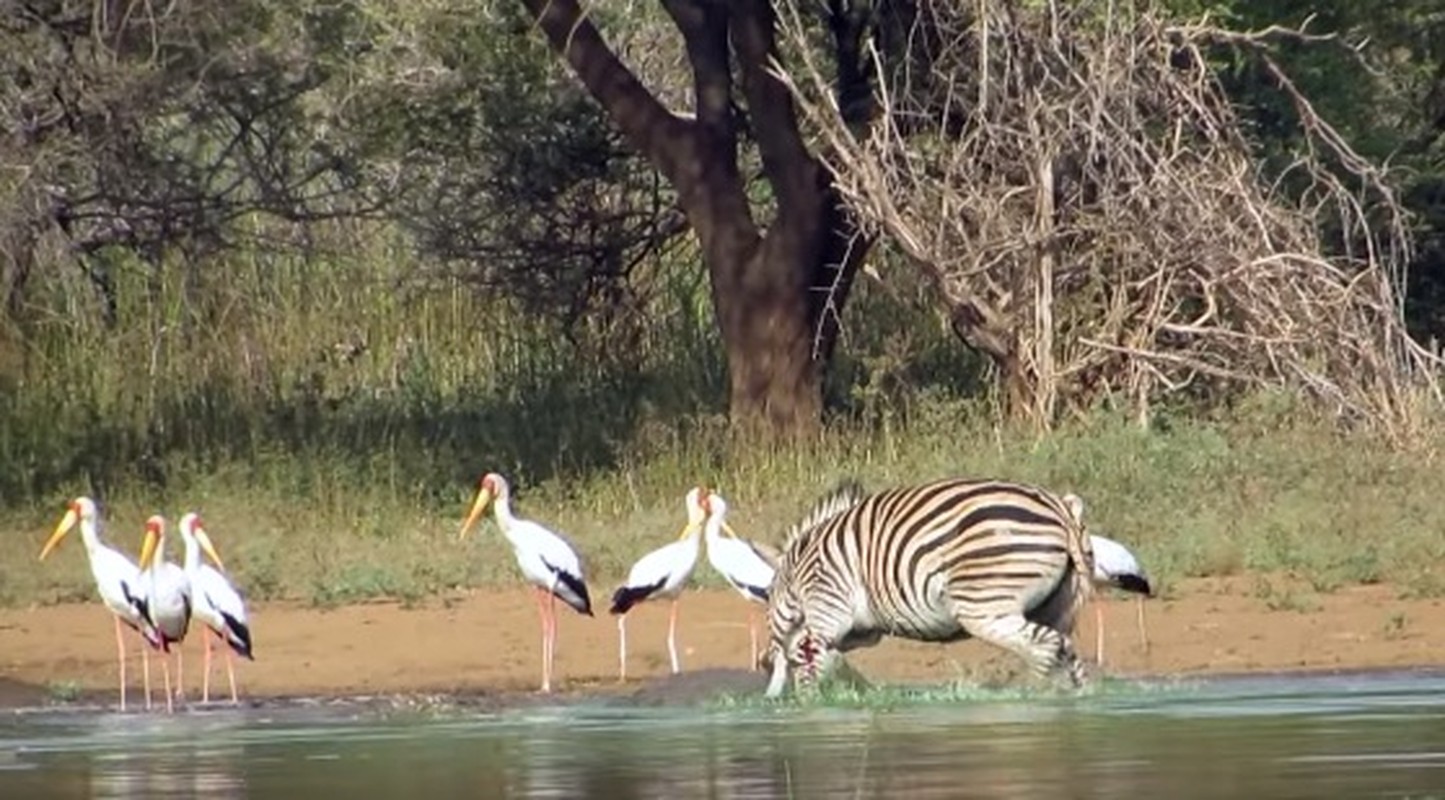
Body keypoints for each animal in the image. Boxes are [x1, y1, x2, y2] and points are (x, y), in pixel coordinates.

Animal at [768, 476, 1092, 693]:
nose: (765, 664)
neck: (796, 570)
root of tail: (1061, 510)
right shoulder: (861, 628)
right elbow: (826, 656)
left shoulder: (828, 603)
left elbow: (810, 653)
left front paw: (812, 701)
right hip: (1055, 605)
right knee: (1066, 650)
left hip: (983, 605)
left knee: (1046, 646)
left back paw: (1034, 694)